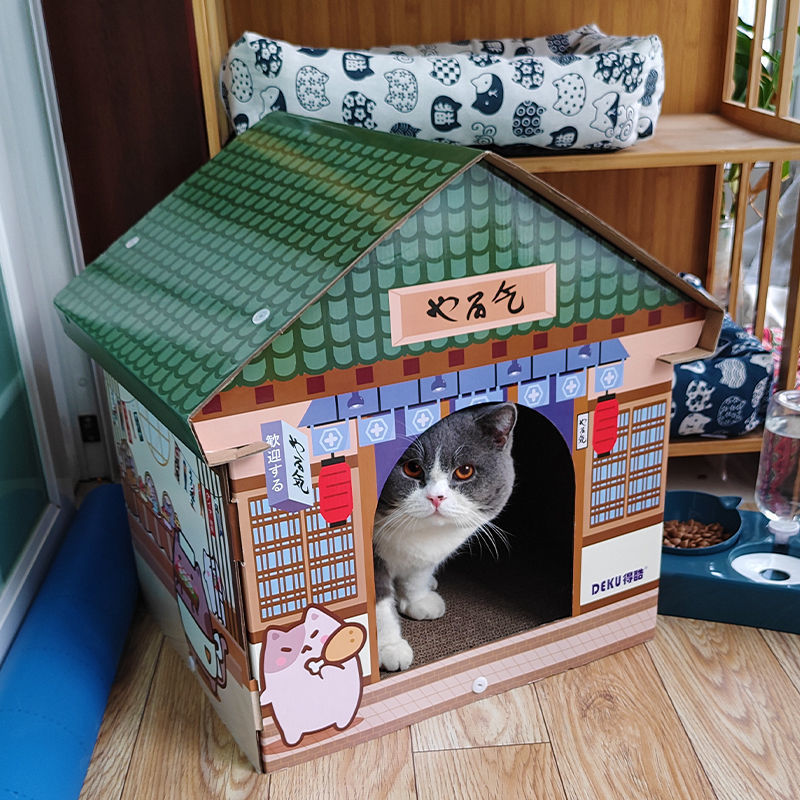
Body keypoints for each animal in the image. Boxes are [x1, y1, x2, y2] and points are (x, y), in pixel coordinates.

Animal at [372, 404, 516, 672]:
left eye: (465, 471)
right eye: (412, 468)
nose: (436, 497)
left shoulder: (427, 555)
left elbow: (418, 573)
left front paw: (419, 600)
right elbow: (378, 599)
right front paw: (389, 647)